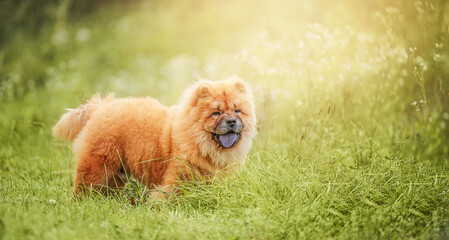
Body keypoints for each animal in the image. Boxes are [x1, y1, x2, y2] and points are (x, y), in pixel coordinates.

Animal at [53, 77, 256, 201]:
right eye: (216, 113)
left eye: (237, 111)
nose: (231, 121)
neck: (202, 145)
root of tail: (102, 106)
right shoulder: (177, 178)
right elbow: (169, 196)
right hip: (97, 165)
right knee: (84, 188)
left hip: (117, 173)